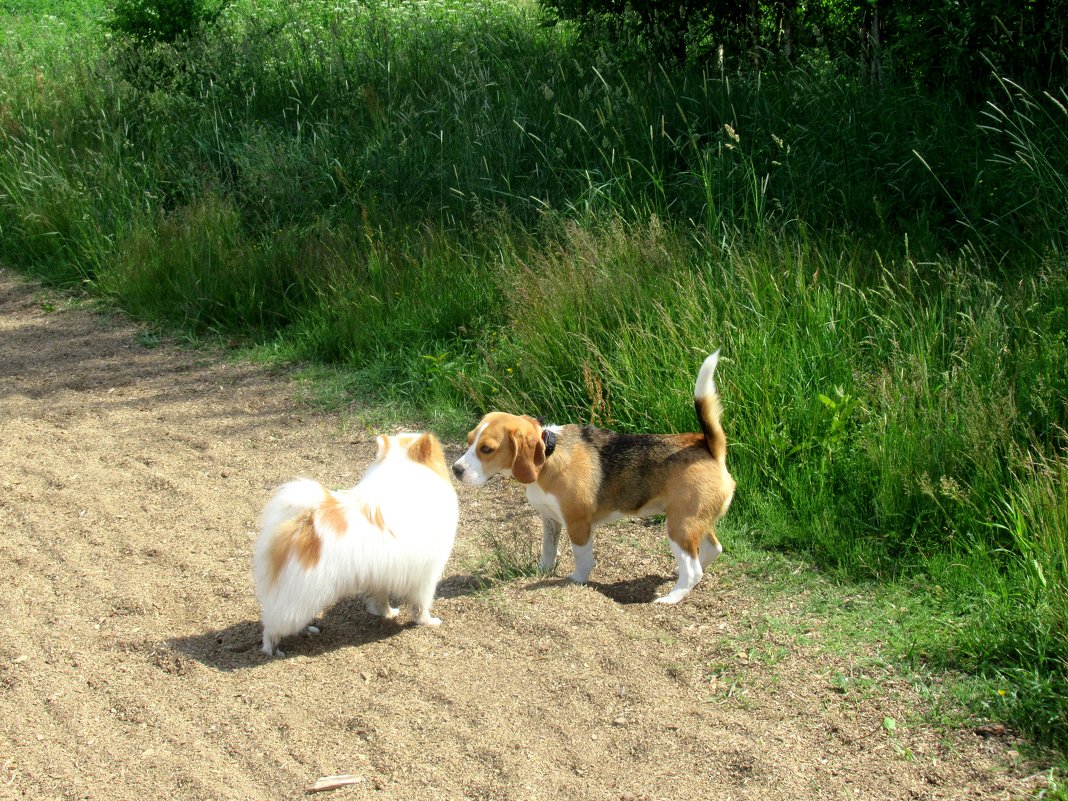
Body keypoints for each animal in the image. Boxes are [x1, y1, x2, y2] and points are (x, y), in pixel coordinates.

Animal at [258, 433, 463, 657]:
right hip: (300, 596)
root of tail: (305, 521)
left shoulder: (381, 576)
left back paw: (307, 629)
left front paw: (387, 613)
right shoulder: (426, 577)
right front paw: (428, 621)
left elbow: (381, 599)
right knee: (272, 626)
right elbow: (421, 605)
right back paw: (273, 650)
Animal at [450, 350, 734, 602]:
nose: (456, 470)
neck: (549, 456)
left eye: (487, 449)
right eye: (469, 441)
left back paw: (672, 597)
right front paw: (543, 572)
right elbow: (548, 551)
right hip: (691, 521)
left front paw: (576, 581)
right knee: (713, 548)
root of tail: (709, 446)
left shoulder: (578, 524)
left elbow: (582, 558)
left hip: (679, 526)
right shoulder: (549, 519)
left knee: (693, 570)